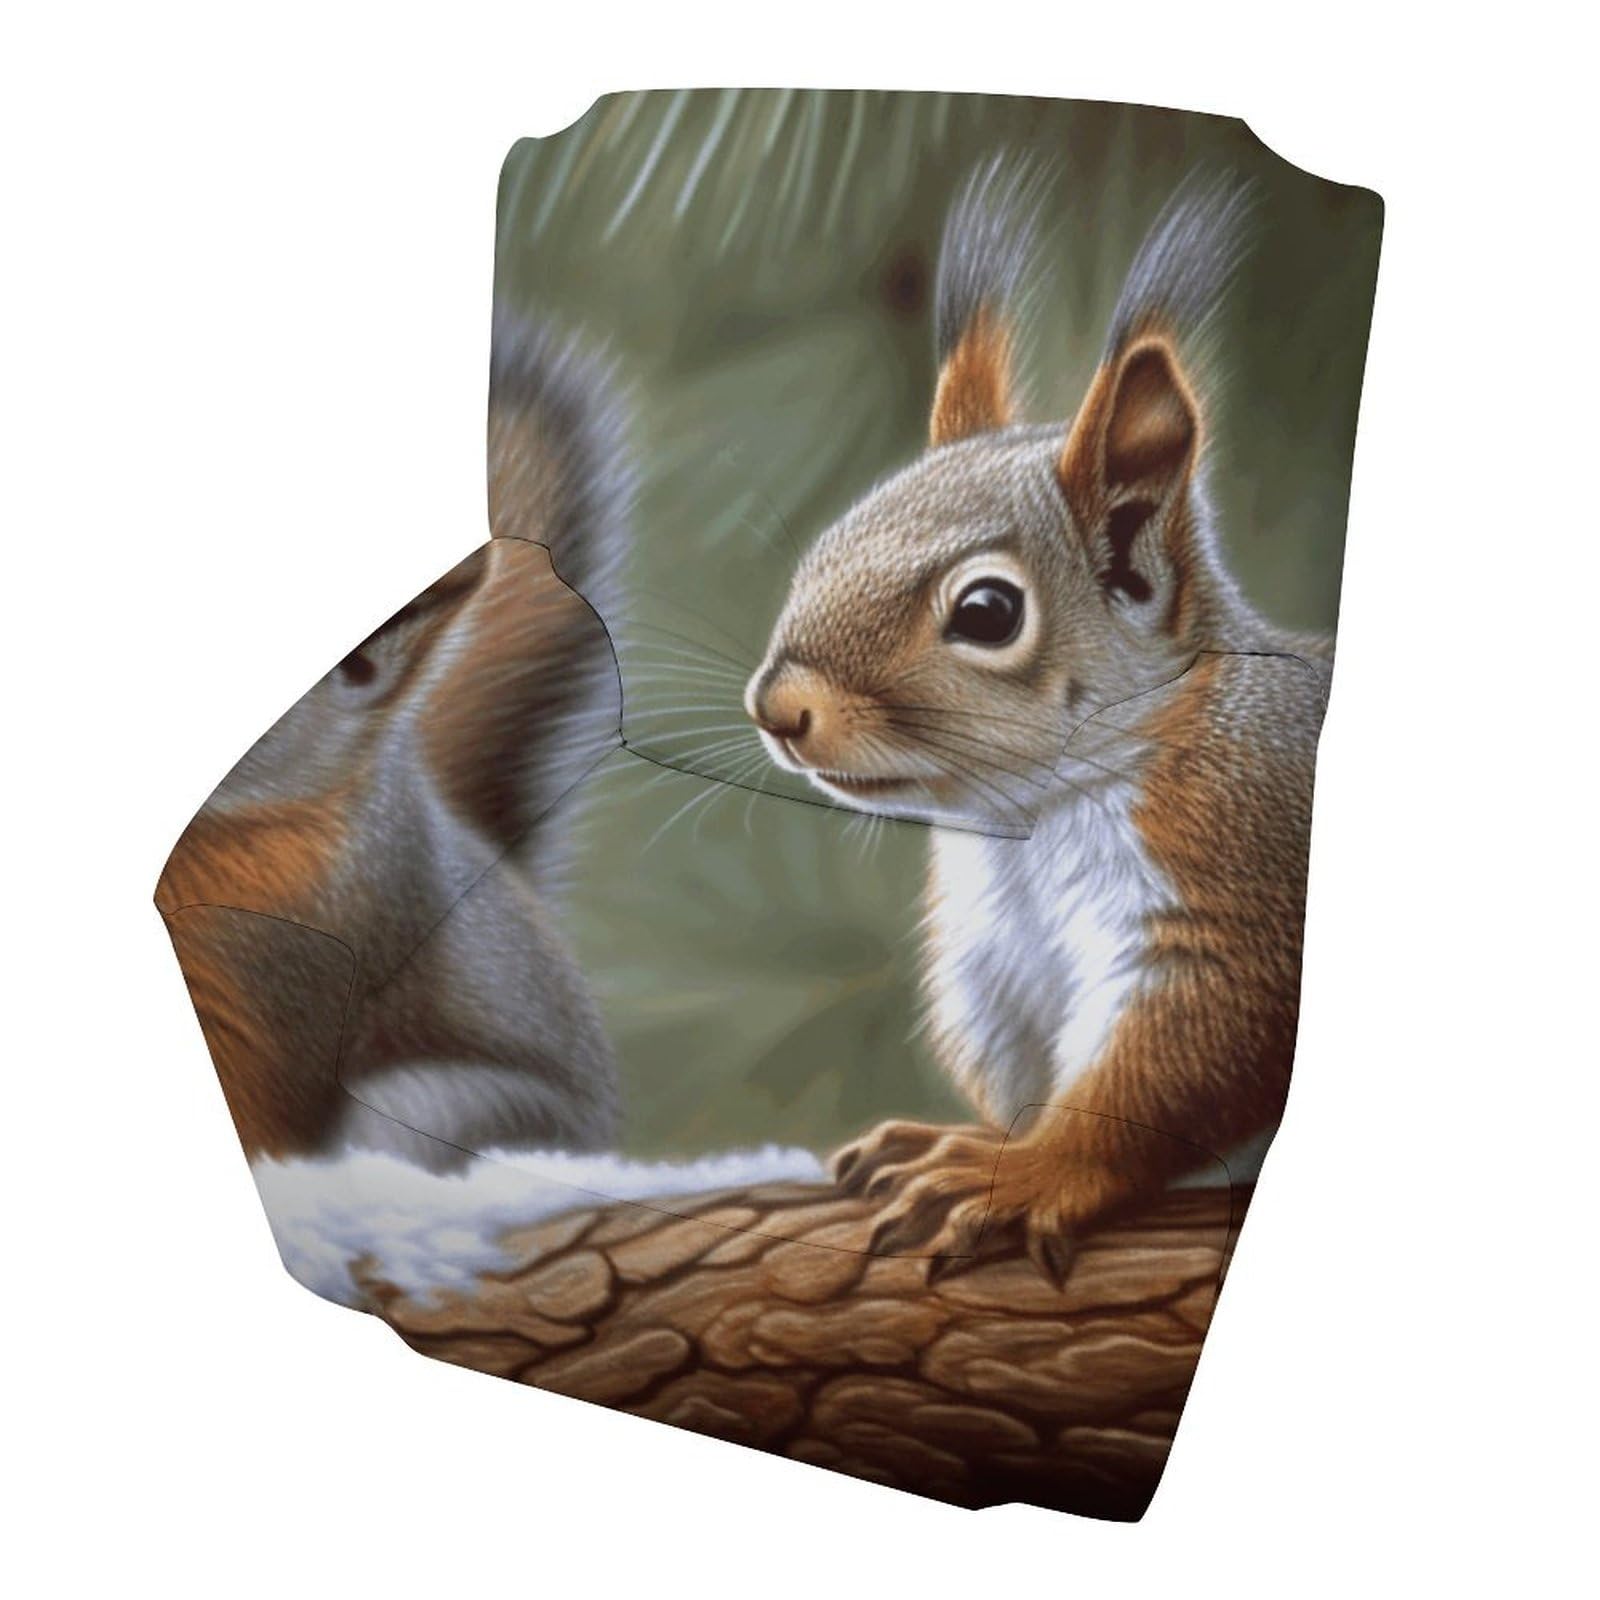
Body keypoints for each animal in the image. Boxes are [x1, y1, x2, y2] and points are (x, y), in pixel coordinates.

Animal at [746, 161, 1331, 1280]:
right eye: (825, 546)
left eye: (987, 612)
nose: (777, 708)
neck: (1026, 824)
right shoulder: (993, 970)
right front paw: (965, 1140)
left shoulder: (1227, 894)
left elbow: (1170, 1072)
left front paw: (1020, 1174)